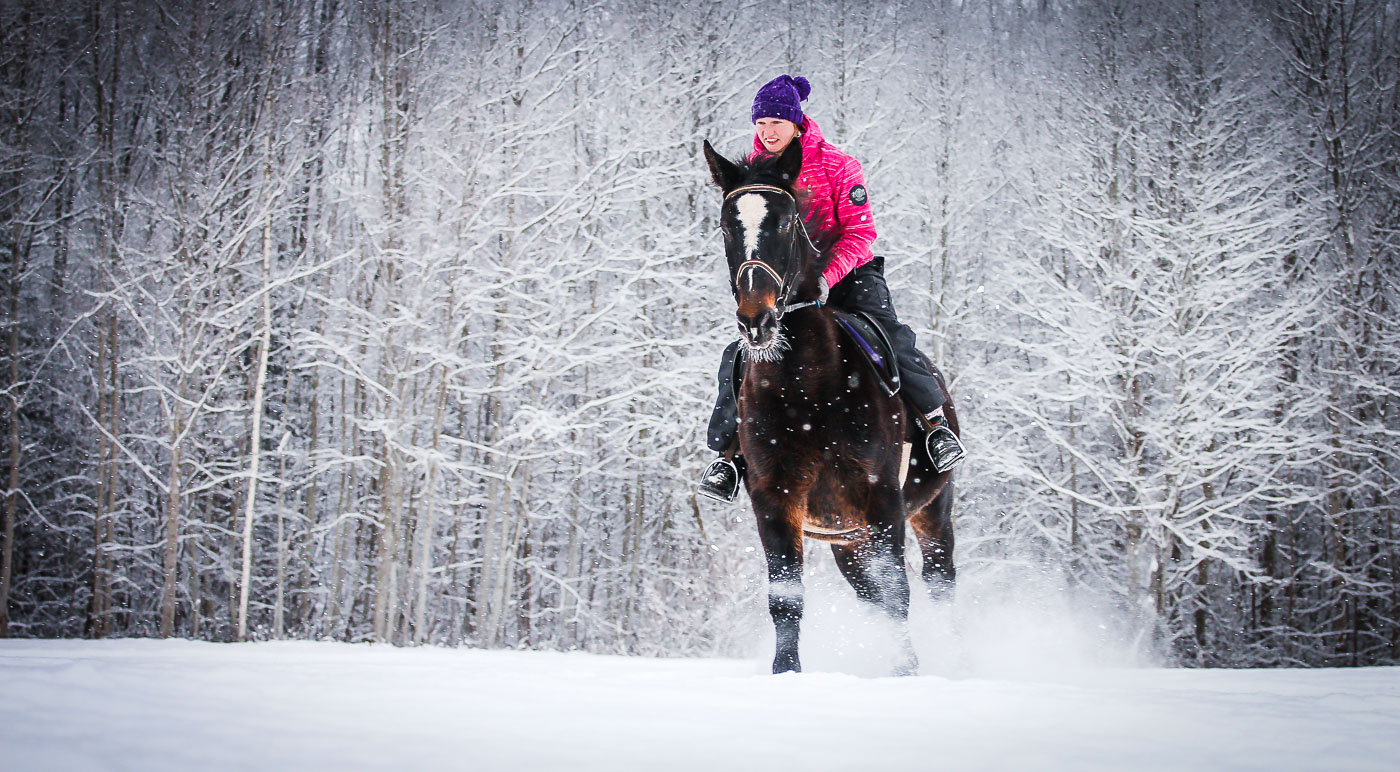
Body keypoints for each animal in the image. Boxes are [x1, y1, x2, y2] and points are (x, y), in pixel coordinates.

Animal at [705, 137, 957, 678]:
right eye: (726, 225)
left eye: (784, 221)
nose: (756, 320)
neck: (804, 388)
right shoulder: (774, 500)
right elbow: (786, 599)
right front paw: (786, 674)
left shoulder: (882, 498)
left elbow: (898, 591)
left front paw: (906, 674)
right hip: (848, 541)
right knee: (872, 593)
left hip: (932, 510)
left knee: (938, 582)